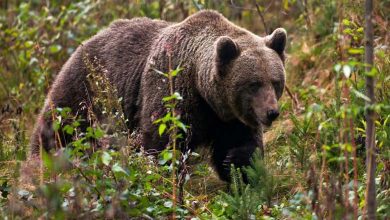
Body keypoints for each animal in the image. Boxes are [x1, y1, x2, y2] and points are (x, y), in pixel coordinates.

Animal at [30, 10, 286, 181]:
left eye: (275, 82)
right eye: (253, 84)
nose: (271, 112)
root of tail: (83, 43)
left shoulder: (229, 117)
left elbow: (243, 147)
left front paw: (236, 163)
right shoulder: (171, 91)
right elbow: (161, 145)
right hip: (84, 92)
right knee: (57, 132)